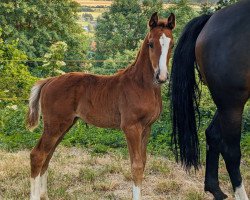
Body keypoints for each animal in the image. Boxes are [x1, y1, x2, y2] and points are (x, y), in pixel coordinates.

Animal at [26, 12, 176, 200]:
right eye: (150, 44)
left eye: (172, 44)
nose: (161, 76)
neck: (141, 85)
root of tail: (49, 80)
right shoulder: (131, 127)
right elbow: (136, 166)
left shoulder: (147, 128)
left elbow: (143, 162)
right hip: (54, 125)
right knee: (38, 155)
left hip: (64, 125)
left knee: (48, 155)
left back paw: (45, 195)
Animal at [171, 0, 249, 199]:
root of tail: (210, 20)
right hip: (231, 102)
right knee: (231, 151)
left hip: (225, 104)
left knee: (212, 134)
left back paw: (216, 190)